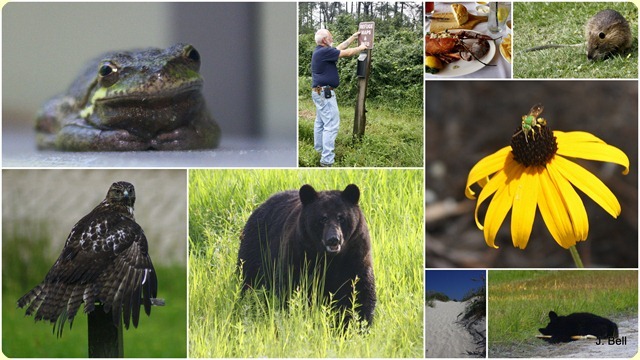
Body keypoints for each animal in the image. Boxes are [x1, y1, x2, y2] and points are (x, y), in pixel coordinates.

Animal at [236, 184, 376, 324]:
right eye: (323, 218)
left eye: (341, 217)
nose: (333, 239)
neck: (331, 258)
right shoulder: (300, 251)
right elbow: (290, 285)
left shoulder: (355, 254)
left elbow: (360, 289)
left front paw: (359, 322)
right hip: (256, 248)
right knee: (249, 280)